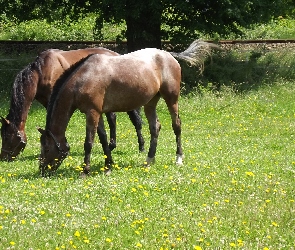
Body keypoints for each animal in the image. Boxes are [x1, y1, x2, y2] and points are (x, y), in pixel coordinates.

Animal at [0, 47, 145, 160]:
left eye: (6, 137)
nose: (4, 157)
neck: (43, 71)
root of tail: (117, 55)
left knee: (135, 120)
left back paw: (141, 146)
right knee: (113, 118)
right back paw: (112, 146)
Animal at [38, 40, 220, 176]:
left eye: (46, 148)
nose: (42, 171)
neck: (84, 77)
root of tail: (168, 55)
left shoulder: (92, 112)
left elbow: (89, 142)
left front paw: (85, 171)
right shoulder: (98, 113)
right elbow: (103, 138)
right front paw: (108, 166)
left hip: (171, 99)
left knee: (177, 125)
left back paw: (179, 159)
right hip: (150, 103)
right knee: (155, 127)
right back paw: (149, 160)